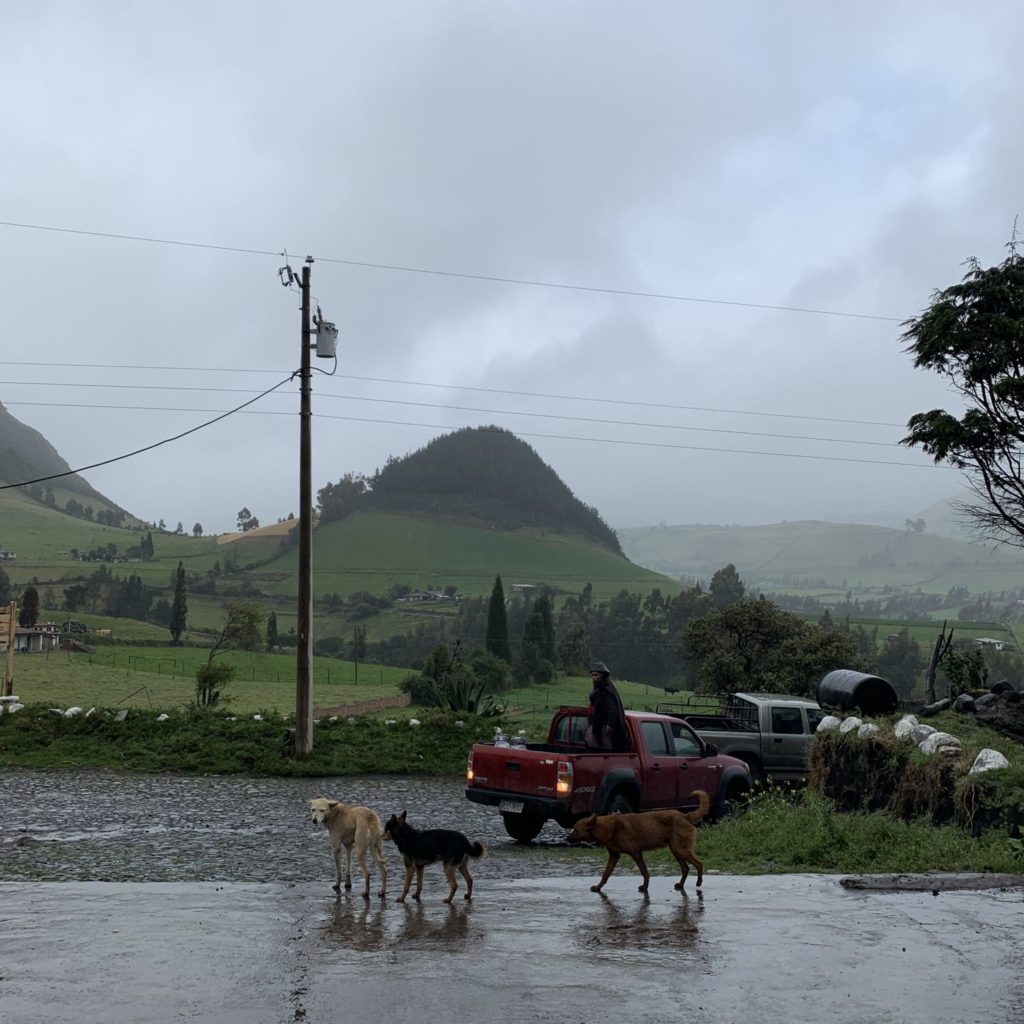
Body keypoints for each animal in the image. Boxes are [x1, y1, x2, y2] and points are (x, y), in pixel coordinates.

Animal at [573, 786, 708, 892]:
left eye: (575, 830)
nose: (568, 838)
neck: (609, 827)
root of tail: (685, 816)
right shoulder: (614, 856)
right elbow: (605, 874)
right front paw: (598, 887)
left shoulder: (636, 853)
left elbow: (644, 872)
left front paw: (645, 887)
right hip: (676, 851)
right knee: (686, 868)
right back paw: (680, 885)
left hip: (680, 850)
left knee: (699, 864)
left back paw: (699, 882)